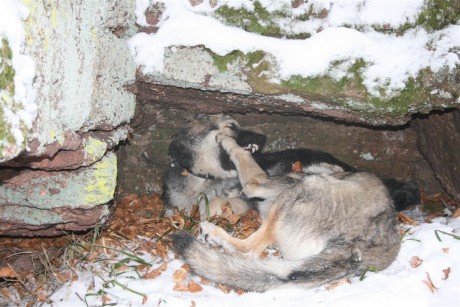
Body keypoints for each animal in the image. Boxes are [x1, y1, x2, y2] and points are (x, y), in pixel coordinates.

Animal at [169, 122, 402, 292]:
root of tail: (355, 249)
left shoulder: (258, 182)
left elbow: (242, 154)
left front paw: (226, 140)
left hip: (298, 190)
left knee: (248, 250)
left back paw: (212, 232)